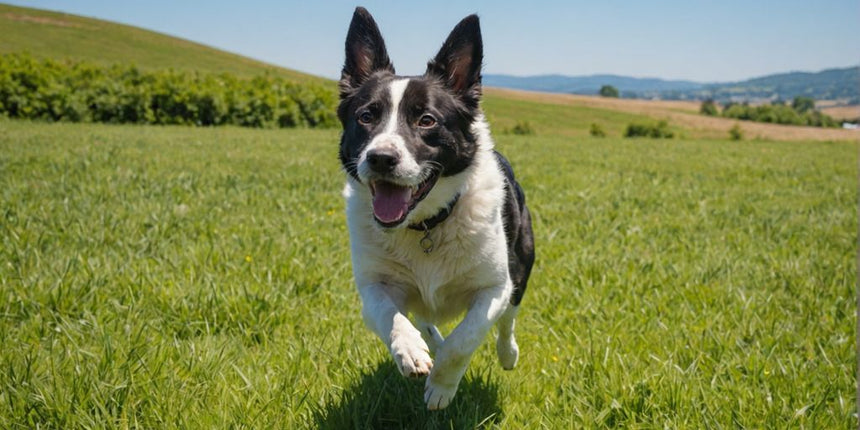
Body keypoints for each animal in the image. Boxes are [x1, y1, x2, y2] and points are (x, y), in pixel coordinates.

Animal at [338, 7, 536, 410]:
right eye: (366, 116)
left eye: (426, 120)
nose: (380, 158)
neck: (426, 225)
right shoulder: (374, 286)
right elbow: (390, 314)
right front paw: (411, 351)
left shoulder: (494, 287)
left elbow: (465, 338)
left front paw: (442, 386)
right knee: (423, 317)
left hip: (522, 262)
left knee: (507, 320)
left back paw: (507, 354)